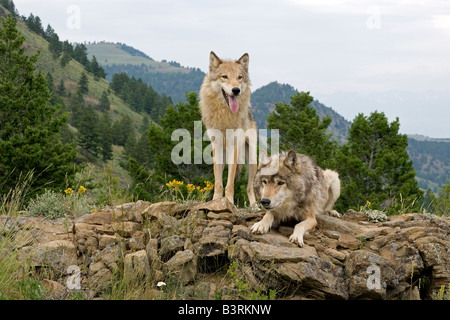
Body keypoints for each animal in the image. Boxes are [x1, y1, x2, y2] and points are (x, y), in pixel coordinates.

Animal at [200, 50, 258, 205]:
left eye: (239, 77)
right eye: (224, 76)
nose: (236, 90)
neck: (224, 114)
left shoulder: (234, 146)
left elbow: (230, 182)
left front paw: (229, 202)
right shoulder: (217, 146)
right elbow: (218, 182)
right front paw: (216, 201)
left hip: (252, 160)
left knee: (250, 187)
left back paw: (254, 207)